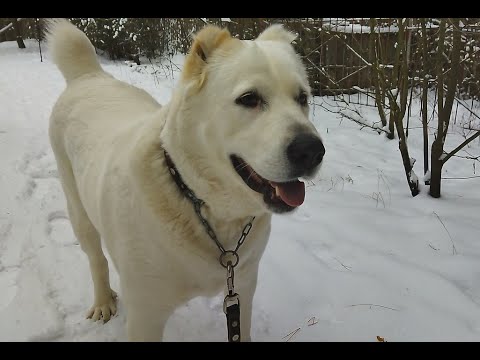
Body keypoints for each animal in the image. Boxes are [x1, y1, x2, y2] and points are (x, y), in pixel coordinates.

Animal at [46, 18, 322, 342]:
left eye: (302, 98)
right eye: (249, 99)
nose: (312, 151)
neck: (200, 205)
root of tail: (89, 75)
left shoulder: (242, 289)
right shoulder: (145, 315)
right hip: (78, 210)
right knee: (96, 258)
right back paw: (102, 301)